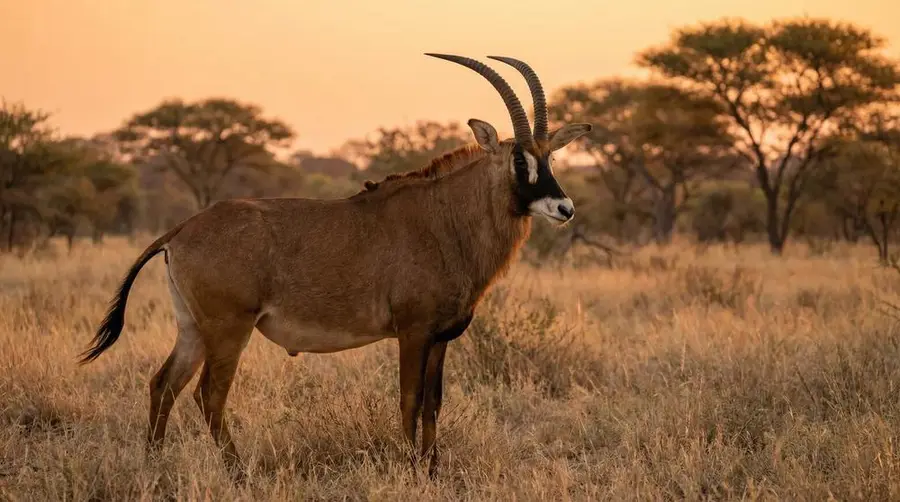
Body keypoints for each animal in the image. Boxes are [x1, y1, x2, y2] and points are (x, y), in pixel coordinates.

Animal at [79, 53, 592, 478]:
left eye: (550, 157)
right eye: (518, 159)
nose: (564, 208)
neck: (446, 217)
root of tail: (181, 230)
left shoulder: (441, 338)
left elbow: (434, 404)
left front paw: (433, 472)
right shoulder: (413, 332)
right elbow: (409, 400)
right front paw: (412, 472)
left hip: (191, 327)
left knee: (163, 384)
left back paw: (154, 466)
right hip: (228, 329)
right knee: (208, 393)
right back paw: (238, 473)